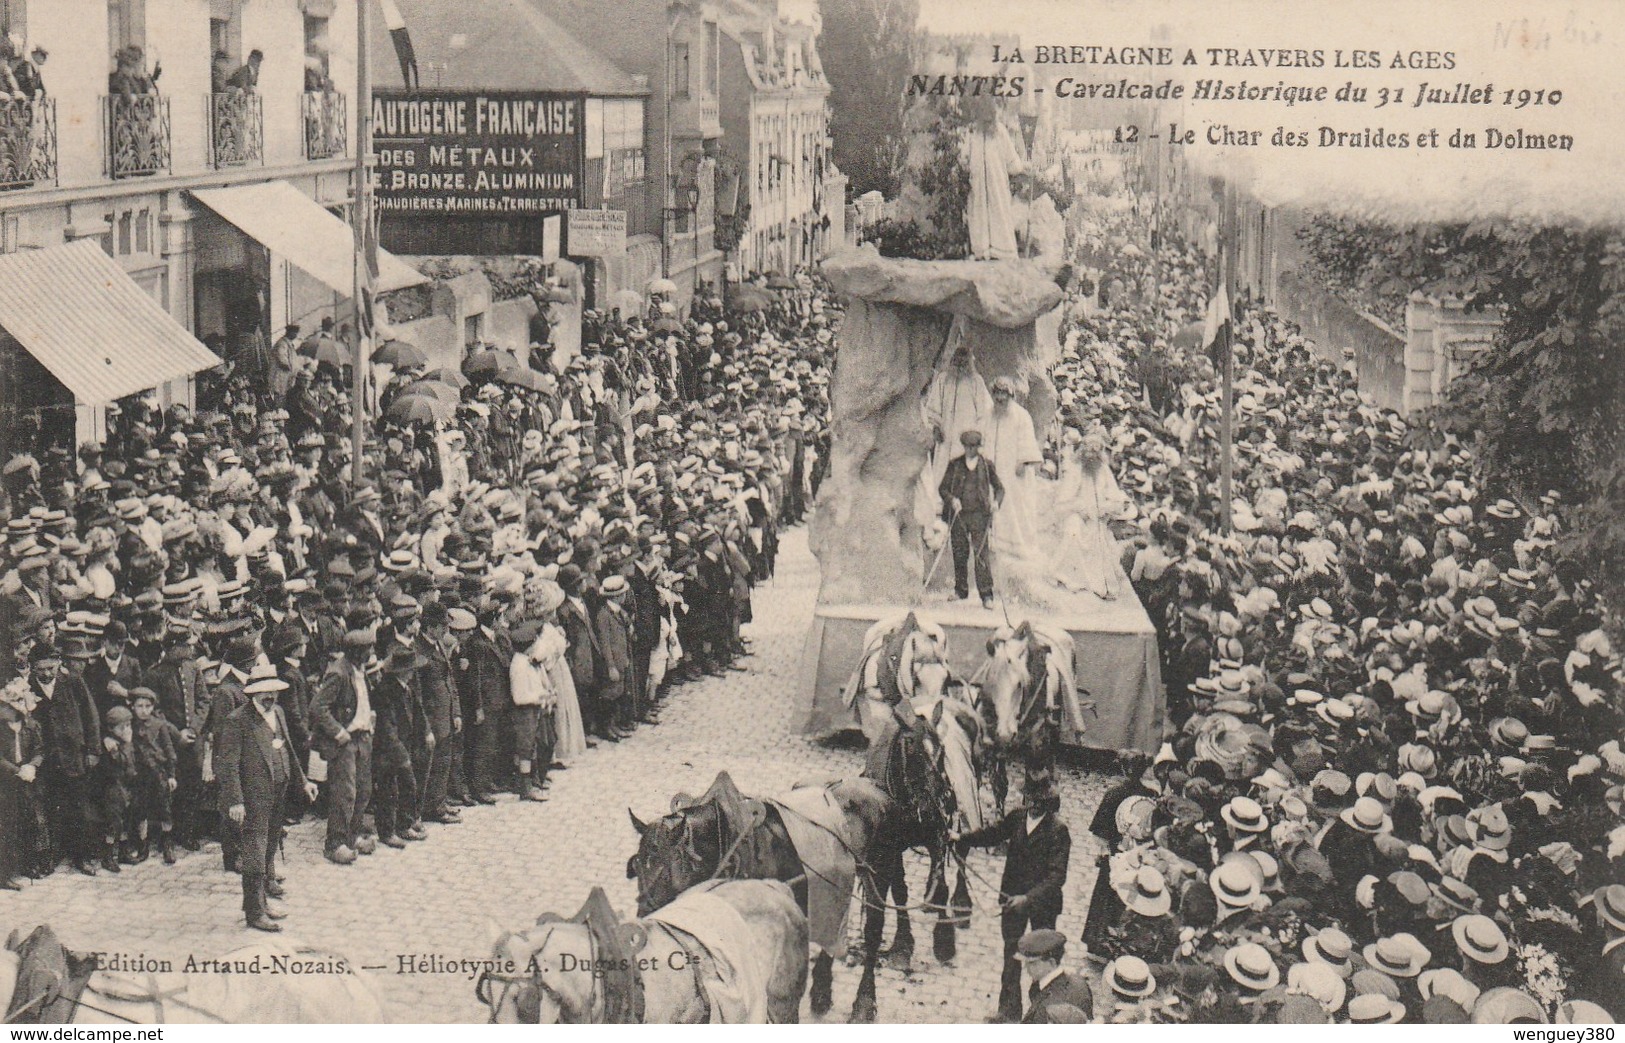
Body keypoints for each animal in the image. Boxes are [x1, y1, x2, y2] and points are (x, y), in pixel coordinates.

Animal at [968, 620, 1085, 809]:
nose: (1005, 734)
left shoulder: (1036, 742)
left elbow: (1034, 780)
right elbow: (999, 786)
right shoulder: (994, 746)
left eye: (1019, 684)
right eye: (989, 681)